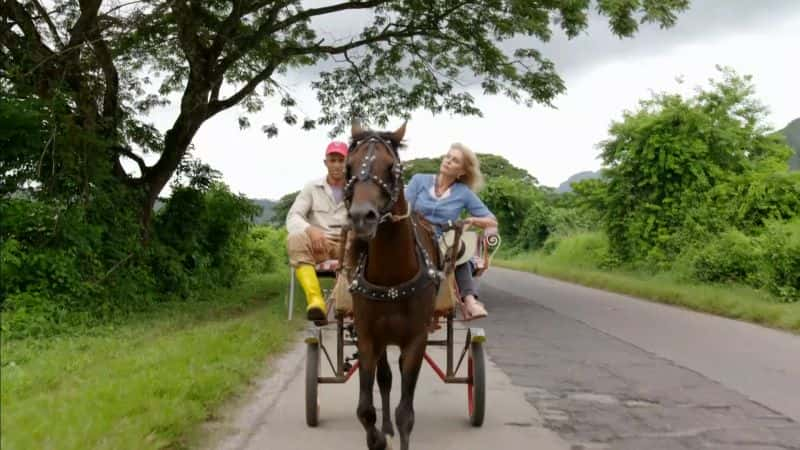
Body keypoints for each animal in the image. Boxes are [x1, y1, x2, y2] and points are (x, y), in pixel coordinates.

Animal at [344, 119, 444, 450]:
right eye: (348, 167)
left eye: (393, 168)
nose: (362, 217)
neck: (391, 279)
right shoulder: (367, 337)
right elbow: (365, 409)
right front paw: (377, 439)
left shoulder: (416, 339)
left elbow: (406, 413)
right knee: (386, 378)